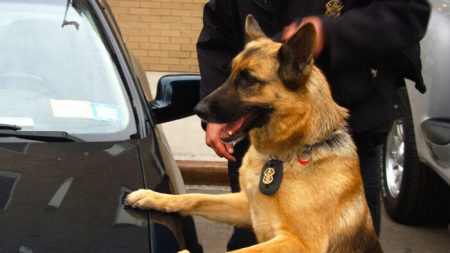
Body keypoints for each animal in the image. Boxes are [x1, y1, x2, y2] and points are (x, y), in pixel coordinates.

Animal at [126, 15, 384, 253]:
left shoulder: (299, 242)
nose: (198, 110)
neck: (282, 156)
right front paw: (153, 197)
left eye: (248, 79)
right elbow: (196, 197)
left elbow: (239, 252)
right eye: (229, 73)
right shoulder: (245, 206)